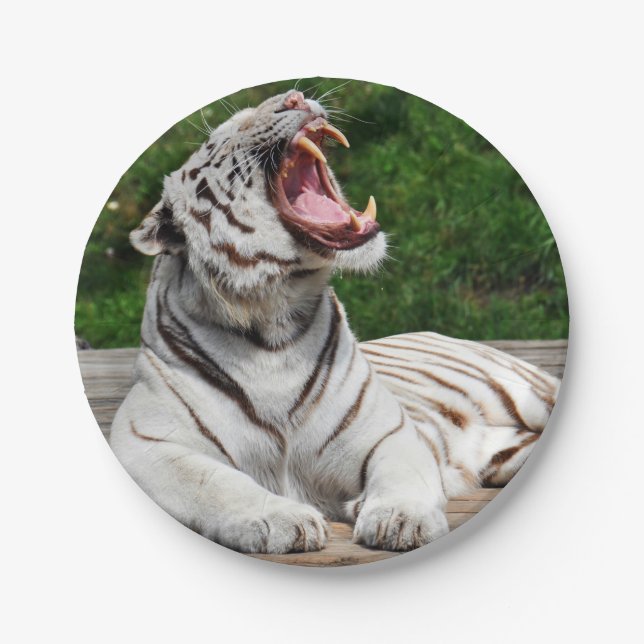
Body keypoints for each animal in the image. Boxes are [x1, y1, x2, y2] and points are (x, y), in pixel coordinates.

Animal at [109, 89, 560, 555]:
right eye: (224, 135)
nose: (294, 97)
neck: (273, 321)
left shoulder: (388, 431)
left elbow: (401, 473)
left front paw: (402, 520)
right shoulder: (145, 440)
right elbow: (215, 482)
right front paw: (282, 520)